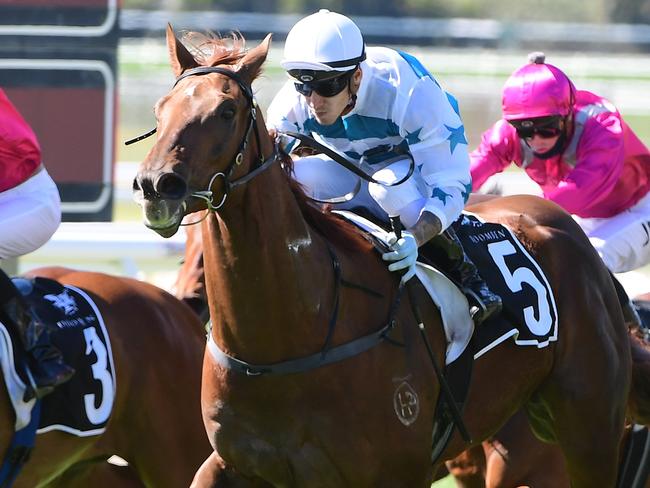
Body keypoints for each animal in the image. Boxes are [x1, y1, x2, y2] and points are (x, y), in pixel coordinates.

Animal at [130, 27, 644, 488]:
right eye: (160, 108)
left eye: (226, 109)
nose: (156, 185)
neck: (289, 339)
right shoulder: (232, 463)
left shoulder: (398, 470)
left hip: (589, 428)